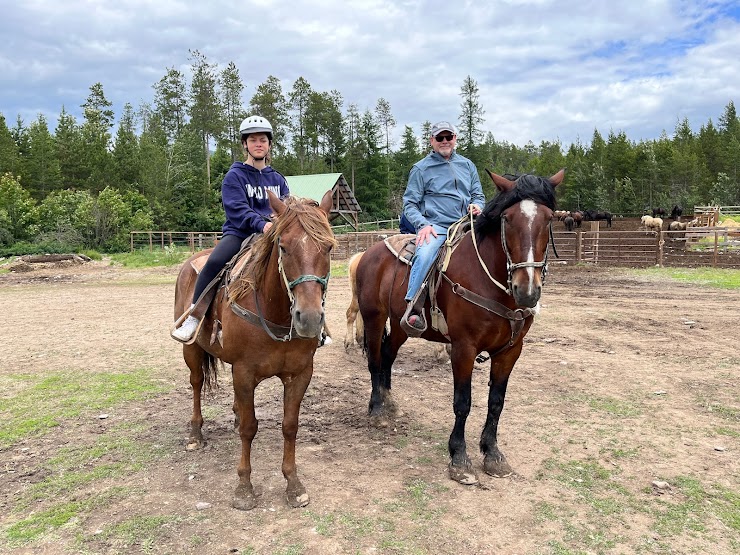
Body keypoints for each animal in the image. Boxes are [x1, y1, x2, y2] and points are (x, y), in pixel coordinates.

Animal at [173, 192, 336, 512]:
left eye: (328, 247)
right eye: (283, 247)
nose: (309, 318)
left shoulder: (300, 373)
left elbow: (290, 426)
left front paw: (293, 484)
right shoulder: (245, 372)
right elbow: (249, 429)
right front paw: (244, 489)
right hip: (192, 351)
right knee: (196, 384)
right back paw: (195, 434)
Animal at [356, 169, 564, 486]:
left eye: (549, 218)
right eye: (507, 219)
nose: (527, 290)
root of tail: (369, 253)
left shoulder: (510, 351)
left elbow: (496, 402)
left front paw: (492, 454)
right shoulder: (464, 348)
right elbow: (463, 402)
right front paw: (459, 458)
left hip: (403, 325)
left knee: (388, 355)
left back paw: (390, 404)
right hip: (373, 318)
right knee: (376, 360)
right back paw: (377, 409)